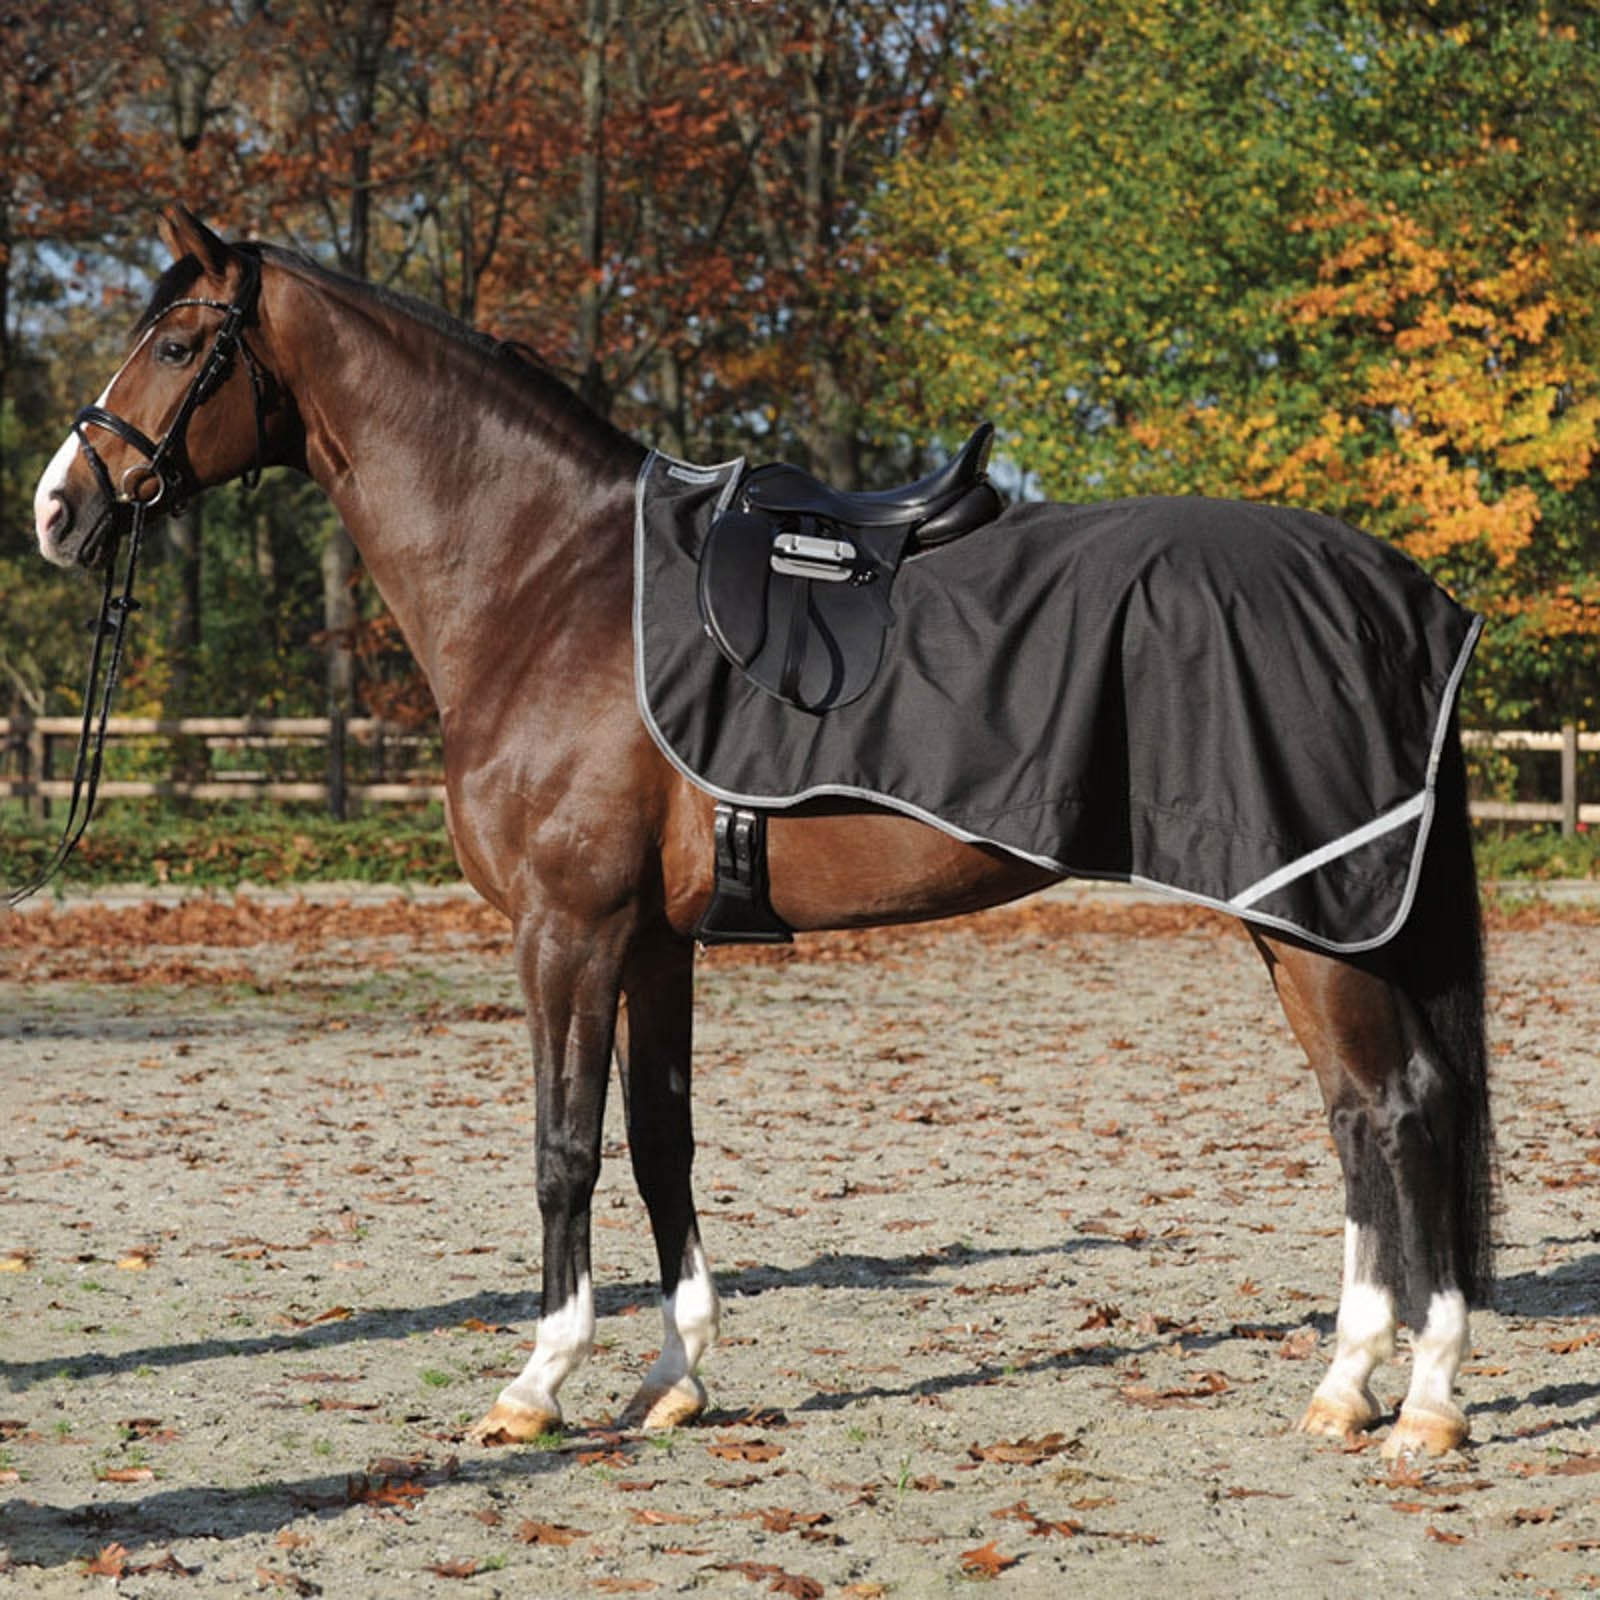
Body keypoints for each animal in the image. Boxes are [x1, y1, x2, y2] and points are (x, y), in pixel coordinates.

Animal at [31, 208, 1493, 1460]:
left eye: (178, 346)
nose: (59, 508)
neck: (549, 583)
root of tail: (1391, 590)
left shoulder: (566, 930)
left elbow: (564, 1148)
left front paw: (536, 1384)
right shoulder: (653, 941)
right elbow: (659, 1141)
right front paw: (674, 1377)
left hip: (1317, 919)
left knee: (1397, 1109)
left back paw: (1421, 1401)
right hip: (1295, 915)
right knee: (1357, 1116)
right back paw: (1349, 1386)